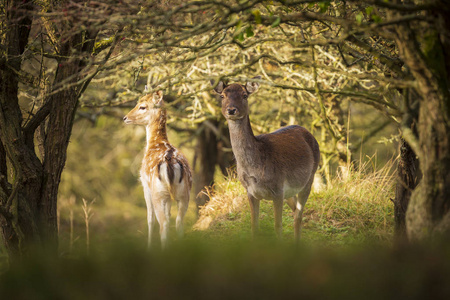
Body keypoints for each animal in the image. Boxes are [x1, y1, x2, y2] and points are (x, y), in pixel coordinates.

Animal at [123, 90, 192, 250]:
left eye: (142, 106)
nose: (125, 118)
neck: (155, 143)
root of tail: (170, 163)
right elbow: (169, 215)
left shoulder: (145, 186)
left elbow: (150, 219)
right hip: (183, 193)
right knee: (178, 222)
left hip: (158, 194)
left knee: (163, 224)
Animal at [212, 77, 320, 241]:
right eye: (222, 96)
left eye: (244, 95)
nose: (231, 110)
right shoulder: (250, 192)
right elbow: (254, 226)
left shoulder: (277, 189)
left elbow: (278, 226)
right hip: (289, 192)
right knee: (295, 210)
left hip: (309, 179)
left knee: (298, 215)